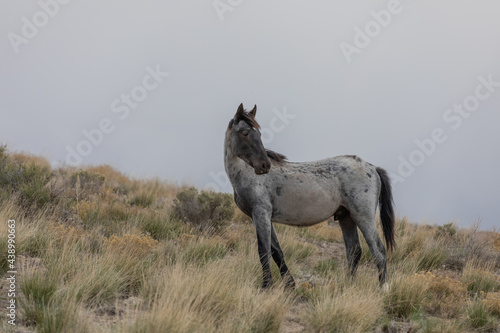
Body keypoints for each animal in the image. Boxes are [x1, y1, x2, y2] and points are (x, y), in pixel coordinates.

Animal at [225, 103, 396, 288]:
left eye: (259, 134)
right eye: (246, 133)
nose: (264, 166)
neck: (247, 174)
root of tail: (372, 168)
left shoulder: (260, 213)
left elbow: (263, 250)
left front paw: (266, 286)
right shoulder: (264, 217)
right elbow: (276, 251)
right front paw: (290, 285)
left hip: (363, 217)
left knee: (378, 251)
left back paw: (383, 288)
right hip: (346, 217)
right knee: (354, 251)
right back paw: (347, 286)